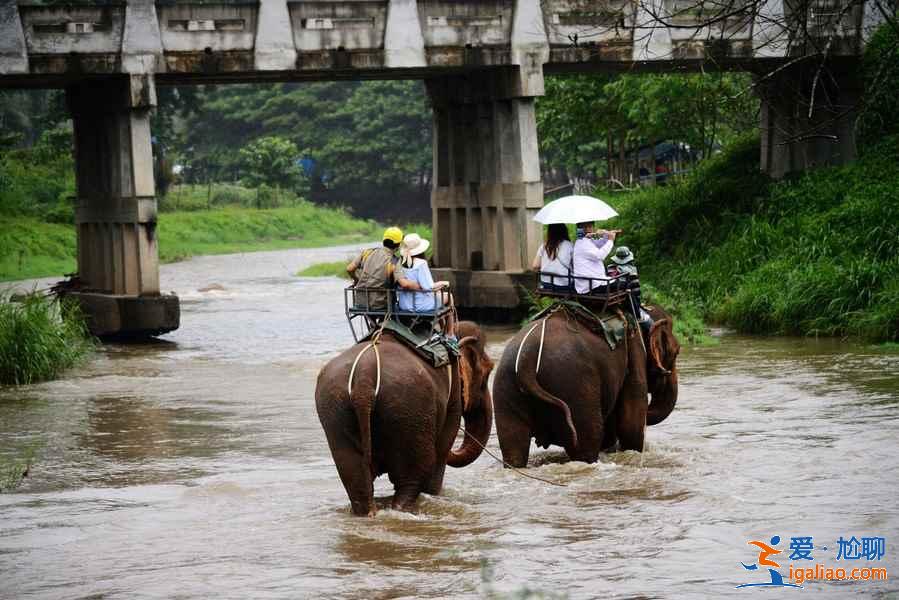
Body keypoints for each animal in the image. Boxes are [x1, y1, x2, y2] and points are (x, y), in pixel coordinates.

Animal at [492, 304, 684, 468]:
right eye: (676, 353)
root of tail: (527, 359)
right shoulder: (635, 350)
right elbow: (631, 425)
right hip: (574, 386)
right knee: (588, 441)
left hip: (505, 387)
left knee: (513, 446)